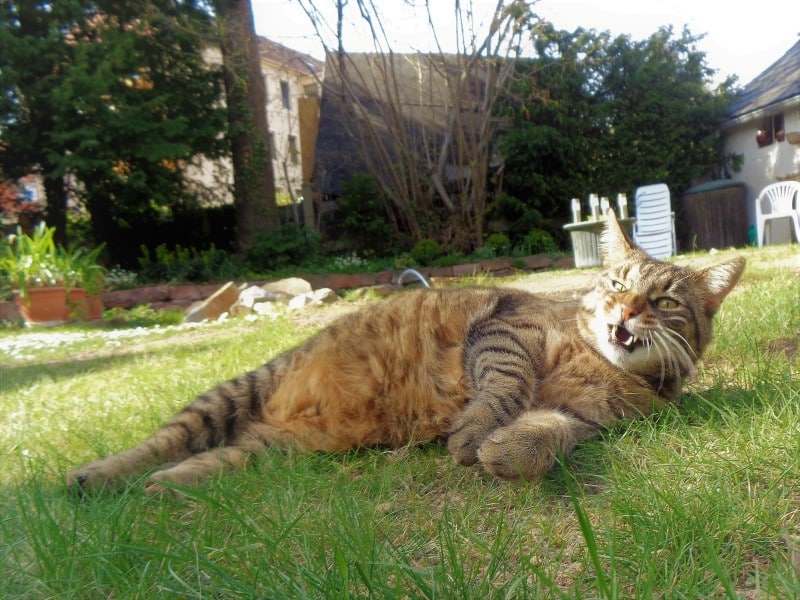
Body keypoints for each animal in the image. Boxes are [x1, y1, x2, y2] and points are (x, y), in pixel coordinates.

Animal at [67, 212, 744, 492]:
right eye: (617, 284)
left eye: (664, 300)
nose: (625, 314)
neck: (599, 363)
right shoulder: (507, 330)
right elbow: (505, 386)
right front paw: (475, 430)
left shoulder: (584, 420)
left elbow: (545, 431)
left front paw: (506, 450)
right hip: (232, 393)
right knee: (161, 442)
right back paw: (95, 475)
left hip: (268, 447)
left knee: (210, 458)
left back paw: (168, 486)